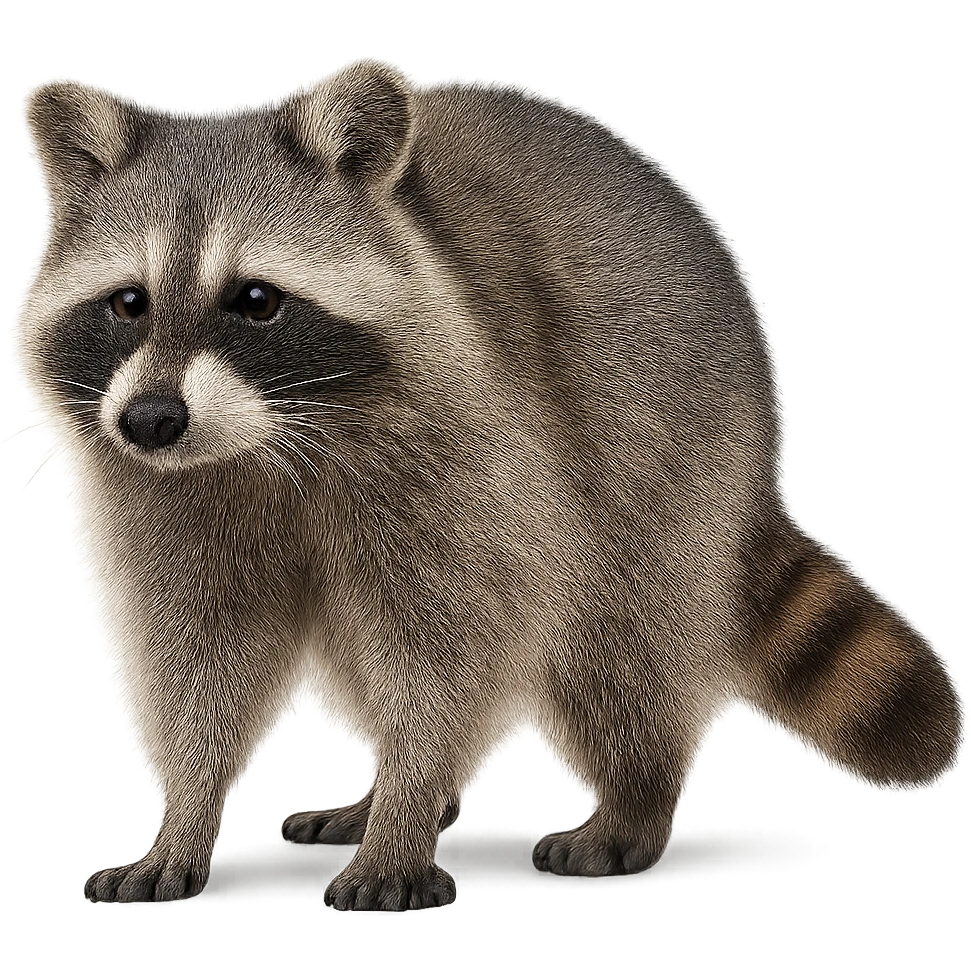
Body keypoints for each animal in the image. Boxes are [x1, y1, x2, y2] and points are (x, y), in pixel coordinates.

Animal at [14, 60, 964, 910]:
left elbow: (446, 651)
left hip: (666, 443)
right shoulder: (175, 494)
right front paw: (185, 815)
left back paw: (632, 797)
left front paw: (403, 817)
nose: (149, 420)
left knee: (623, 637)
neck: (266, 445)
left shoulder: (473, 444)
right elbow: (204, 653)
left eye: (254, 299)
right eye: (128, 302)